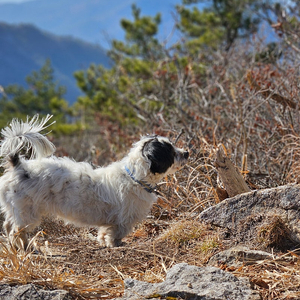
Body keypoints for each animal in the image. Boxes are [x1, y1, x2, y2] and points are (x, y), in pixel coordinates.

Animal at [0, 115, 189, 248]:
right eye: (171, 152)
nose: (186, 152)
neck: (134, 177)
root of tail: (19, 166)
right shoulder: (123, 221)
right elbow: (116, 234)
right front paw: (115, 244)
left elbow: (105, 232)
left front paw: (104, 241)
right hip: (26, 213)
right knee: (17, 232)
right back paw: (28, 249)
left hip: (14, 210)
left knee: (8, 226)